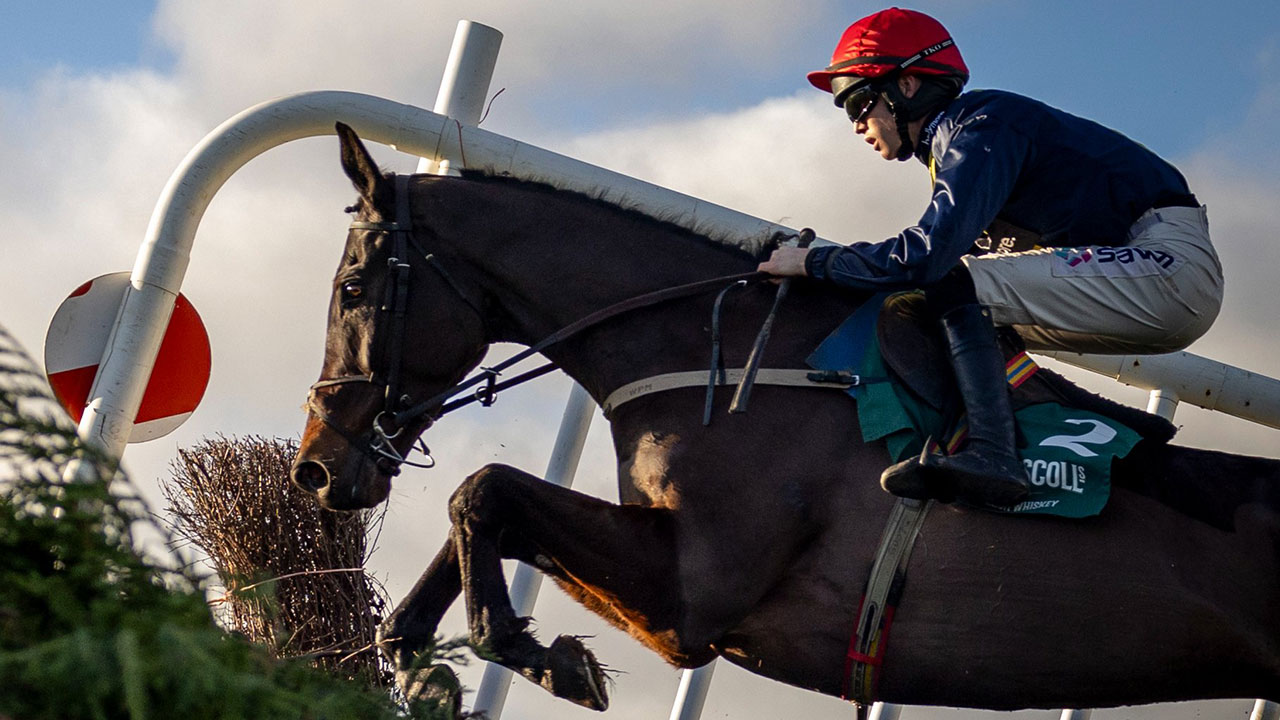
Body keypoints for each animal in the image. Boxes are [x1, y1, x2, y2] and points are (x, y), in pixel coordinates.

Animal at [290, 122, 1280, 712]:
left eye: (352, 288)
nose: (316, 466)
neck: (725, 354)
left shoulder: (690, 599)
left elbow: (486, 489)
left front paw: (541, 656)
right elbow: (478, 511)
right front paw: (413, 654)